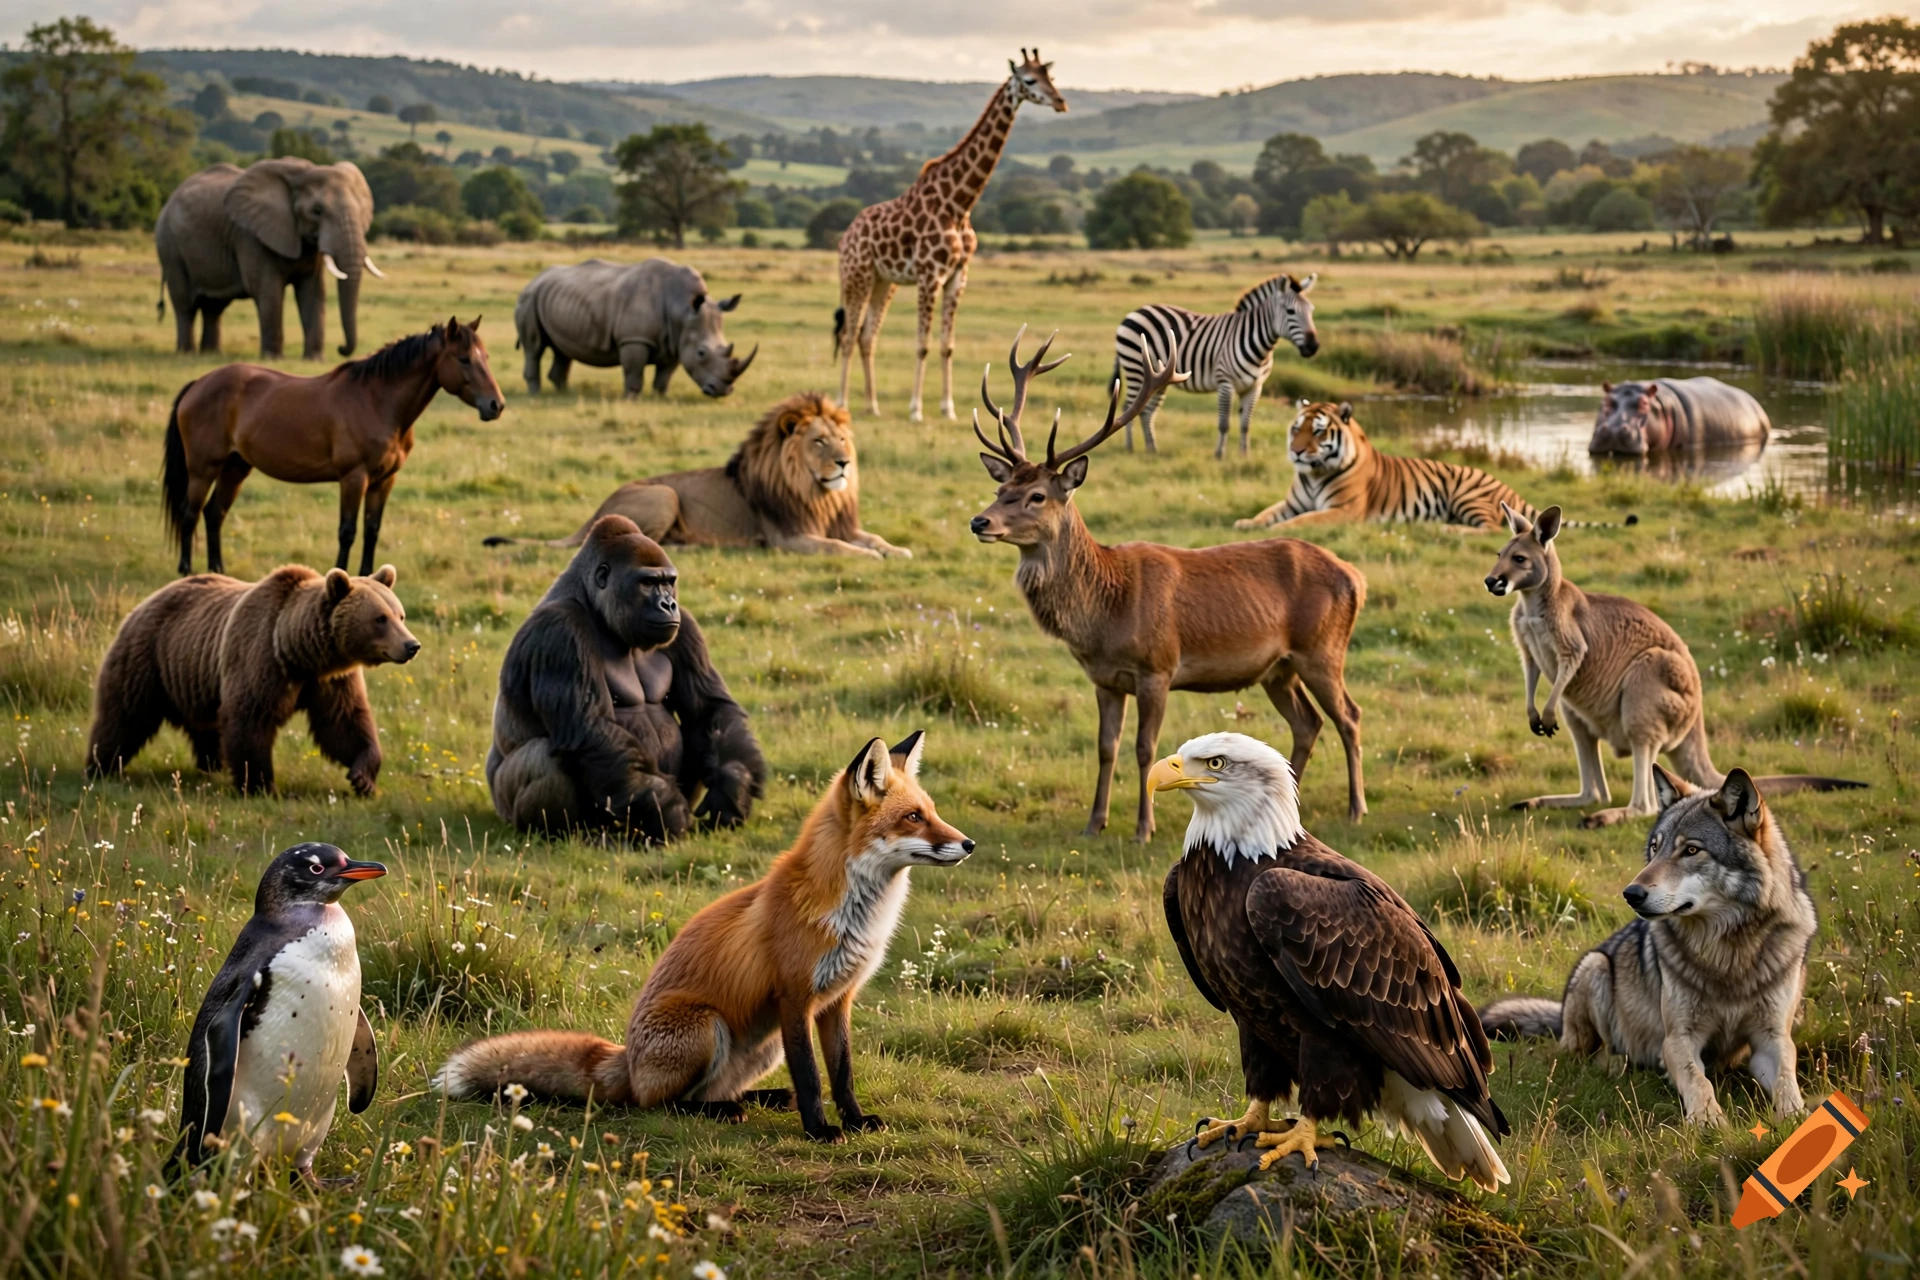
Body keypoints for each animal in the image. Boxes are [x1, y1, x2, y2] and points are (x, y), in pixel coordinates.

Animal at [87, 564, 421, 796]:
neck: (299, 653)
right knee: (124, 715)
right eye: (380, 618)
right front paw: (261, 785)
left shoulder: (329, 680)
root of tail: (145, 601)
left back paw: (211, 763)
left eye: (400, 615)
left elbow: (344, 721)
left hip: (193, 679)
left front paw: (362, 778)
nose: (411, 645)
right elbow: (250, 720)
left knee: (204, 726)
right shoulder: (259, 659)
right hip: (148, 658)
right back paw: (101, 766)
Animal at [155, 159, 382, 360]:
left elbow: (313, 291)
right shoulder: (251, 236)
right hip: (170, 247)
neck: (304, 171)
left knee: (214, 306)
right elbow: (268, 290)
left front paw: (315, 360)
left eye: (362, 210)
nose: (341, 349)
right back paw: (186, 354)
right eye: (317, 211)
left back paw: (211, 355)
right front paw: (273, 359)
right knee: (184, 304)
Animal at [487, 392, 910, 560]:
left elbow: (871, 536)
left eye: (842, 439)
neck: (817, 492)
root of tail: (596, 511)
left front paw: (896, 550)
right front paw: (870, 557)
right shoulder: (788, 537)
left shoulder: (838, 523)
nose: (844, 463)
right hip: (665, 494)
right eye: (819, 441)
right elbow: (836, 547)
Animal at [513, 257, 756, 398]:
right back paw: (536, 396)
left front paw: (661, 398)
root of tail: (534, 280)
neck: (682, 308)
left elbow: (664, 375)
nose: (723, 391)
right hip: (529, 299)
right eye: (701, 353)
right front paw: (630, 399)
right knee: (534, 347)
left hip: (555, 299)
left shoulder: (676, 340)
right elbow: (633, 371)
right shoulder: (635, 338)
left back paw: (565, 394)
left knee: (562, 351)